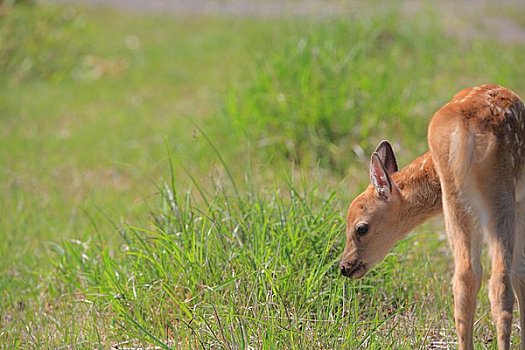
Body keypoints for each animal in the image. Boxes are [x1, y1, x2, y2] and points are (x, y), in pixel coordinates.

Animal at [340, 85, 524, 350]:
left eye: (361, 228)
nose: (344, 266)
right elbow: (521, 274)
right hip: (498, 194)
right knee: (499, 278)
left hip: (459, 199)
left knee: (467, 276)